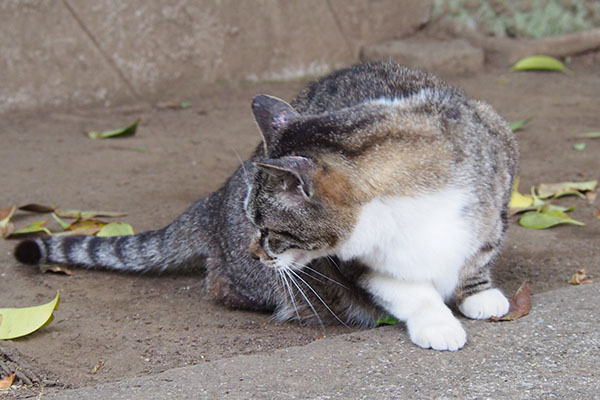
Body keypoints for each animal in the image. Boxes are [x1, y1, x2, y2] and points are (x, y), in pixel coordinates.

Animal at [15, 61, 520, 352]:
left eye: (270, 231)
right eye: (254, 225)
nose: (256, 252)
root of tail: (216, 201)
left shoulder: (499, 160)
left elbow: (479, 252)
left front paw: (476, 293)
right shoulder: (351, 264)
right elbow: (406, 288)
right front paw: (437, 322)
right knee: (222, 285)